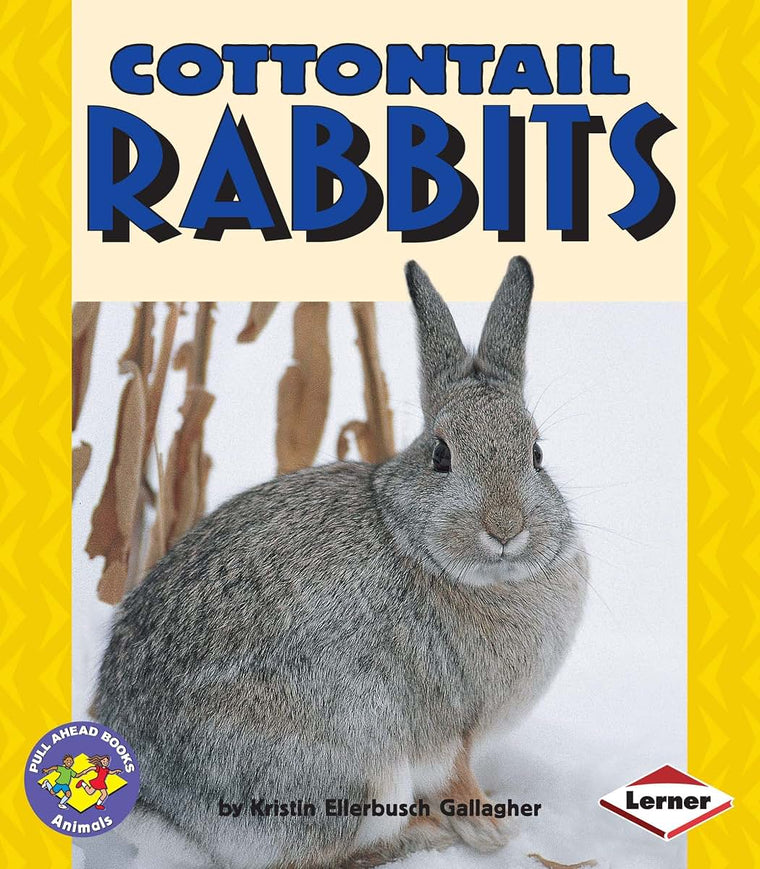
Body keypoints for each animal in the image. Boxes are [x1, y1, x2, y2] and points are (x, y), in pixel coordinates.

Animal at [93, 256, 588, 869]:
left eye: (537, 455)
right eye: (441, 455)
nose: (505, 528)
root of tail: (167, 817)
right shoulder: (448, 726)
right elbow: (455, 778)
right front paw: (492, 831)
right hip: (354, 776)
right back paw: (420, 835)